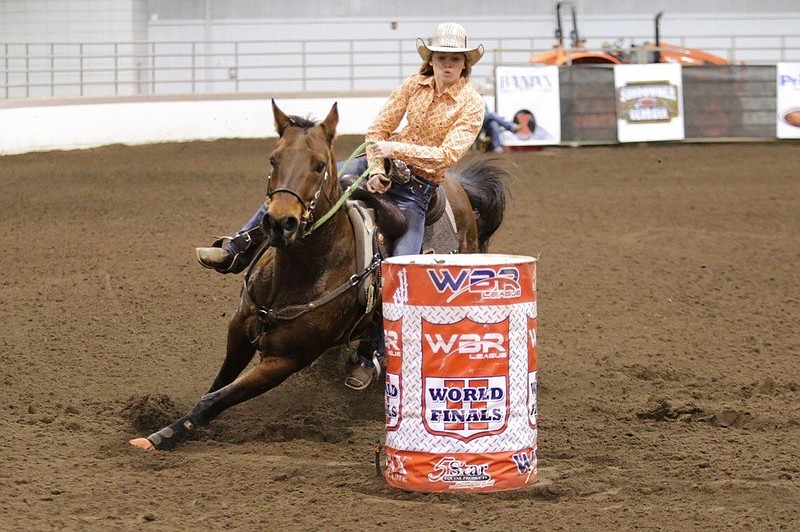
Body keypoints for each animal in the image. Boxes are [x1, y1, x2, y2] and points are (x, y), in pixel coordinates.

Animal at [128, 98, 510, 448]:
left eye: (318, 165)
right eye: (273, 159)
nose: (280, 222)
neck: (299, 273)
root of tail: (458, 188)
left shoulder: (286, 360)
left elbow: (216, 399)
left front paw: (163, 435)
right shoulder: (239, 329)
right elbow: (219, 384)